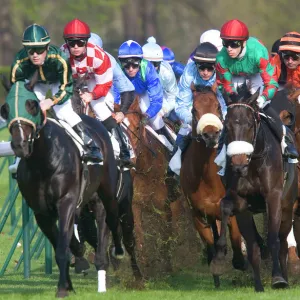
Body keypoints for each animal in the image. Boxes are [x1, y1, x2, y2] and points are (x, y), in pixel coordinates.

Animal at [0, 79, 124, 298]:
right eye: (5, 109)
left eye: (31, 105)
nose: (20, 144)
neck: (43, 161)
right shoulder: (41, 211)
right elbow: (63, 243)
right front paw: (69, 280)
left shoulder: (66, 201)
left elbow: (62, 248)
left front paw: (62, 288)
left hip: (106, 192)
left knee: (109, 219)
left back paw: (110, 259)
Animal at [180, 84, 246, 288]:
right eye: (194, 110)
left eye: (218, 106)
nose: (210, 135)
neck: (207, 176)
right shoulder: (198, 213)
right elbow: (210, 244)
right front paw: (216, 269)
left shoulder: (230, 206)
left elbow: (235, 236)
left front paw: (240, 259)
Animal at [211, 84, 298, 290]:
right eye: (227, 126)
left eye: (250, 124)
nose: (238, 164)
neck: (253, 162)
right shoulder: (240, 200)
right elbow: (226, 208)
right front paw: (218, 259)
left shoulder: (273, 196)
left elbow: (273, 238)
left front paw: (278, 278)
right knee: (254, 245)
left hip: (288, 205)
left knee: (283, 242)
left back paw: (284, 277)